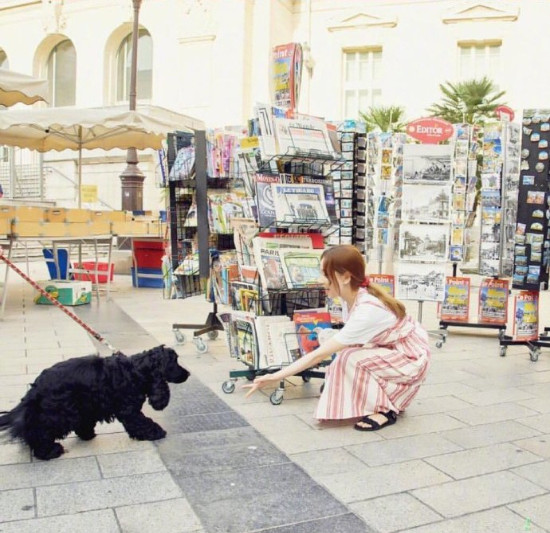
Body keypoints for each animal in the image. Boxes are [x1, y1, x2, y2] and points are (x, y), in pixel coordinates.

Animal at [0, 344, 191, 458]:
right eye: (175, 362)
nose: (188, 374)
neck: (137, 371)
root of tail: (37, 386)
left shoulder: (88, 406)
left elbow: (85, 423)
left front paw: (87, 434)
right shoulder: (128, 409)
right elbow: (141, 422)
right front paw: (157, 432)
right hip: (58, 412)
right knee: (40, 430)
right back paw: (48, 451)